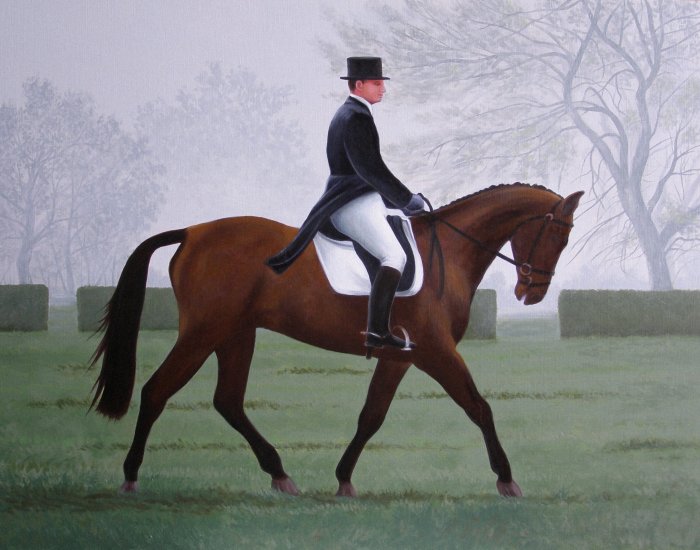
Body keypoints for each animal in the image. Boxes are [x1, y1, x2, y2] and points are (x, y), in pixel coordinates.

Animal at [90, 182, 583, 498]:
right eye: (556, 235)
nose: (532, 292)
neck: (448, 251)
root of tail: (192, 232)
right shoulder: (435, 350)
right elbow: (479, 407)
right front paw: (506, 479)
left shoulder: (401, 355)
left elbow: (371, 416)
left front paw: (344, 478)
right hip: (204, 331)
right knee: (157, 390)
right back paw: (130, 477)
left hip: (236, 334)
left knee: (228, 401)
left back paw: (280, 474)